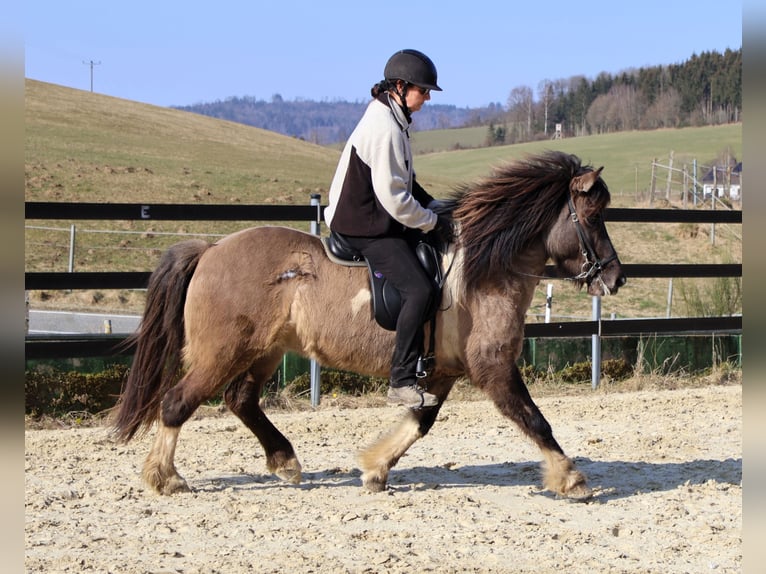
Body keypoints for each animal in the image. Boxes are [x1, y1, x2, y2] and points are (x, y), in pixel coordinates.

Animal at [112, 150, 626, 498]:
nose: (616, 278)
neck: (484, 270)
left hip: (265, 351)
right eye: (592, 216)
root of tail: (210, 249)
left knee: (241, 400)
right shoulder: (492, 367)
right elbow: (535, 419)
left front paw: (375, 470)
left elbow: (418, 423)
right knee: (178, 402)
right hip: (224, 351)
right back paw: (165, 477)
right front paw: (571, 477)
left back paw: (285, 462)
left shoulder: (440, 372)